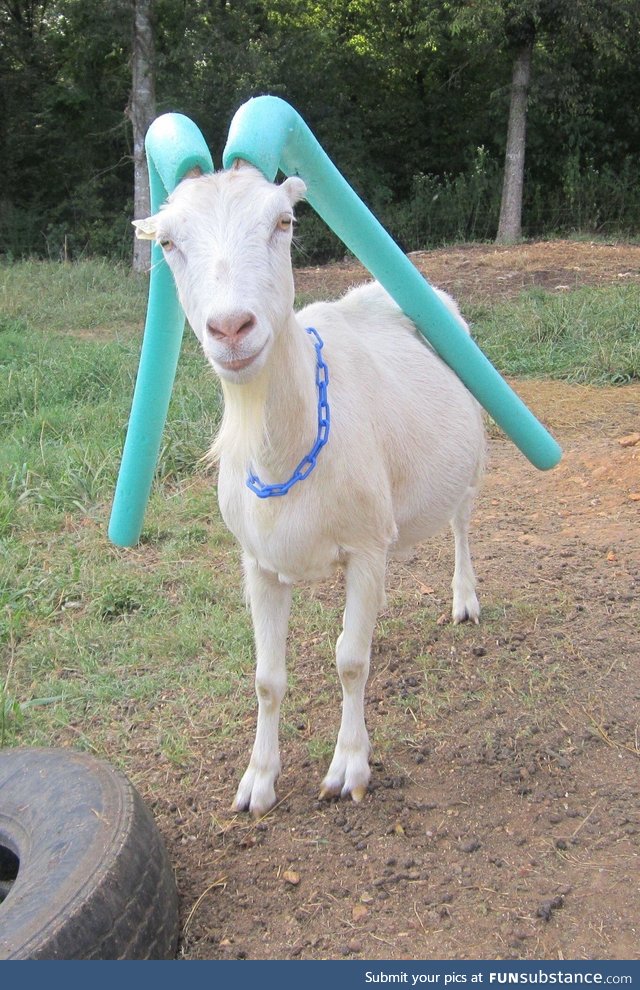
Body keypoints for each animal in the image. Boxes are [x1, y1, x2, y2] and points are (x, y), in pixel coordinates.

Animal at [135, 167, 484, 816]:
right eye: (167, 242)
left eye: (284, 221)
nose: (230, 328)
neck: (283, 453)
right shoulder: (258, 563)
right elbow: (267, 678)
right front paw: (257, 781)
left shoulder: (365, 546)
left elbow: (350, 662)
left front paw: (349, 768)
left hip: (472, 457)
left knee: (461, 522)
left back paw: (465, 599)